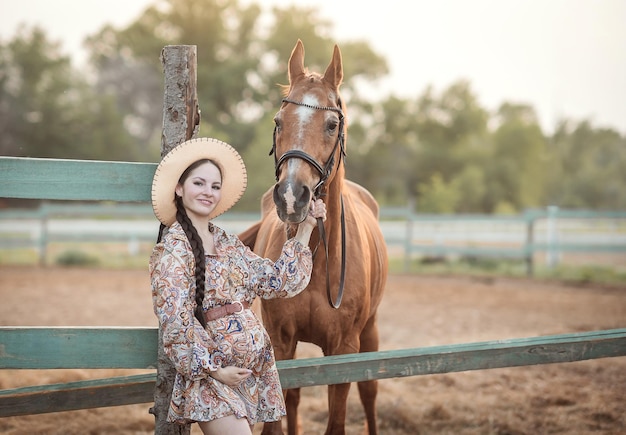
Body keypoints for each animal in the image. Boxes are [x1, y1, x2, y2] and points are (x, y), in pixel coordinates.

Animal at [239, 39, 386, 434]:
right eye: (278, 122)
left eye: (332, 124)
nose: (292, 197)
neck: (319, 256)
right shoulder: (281, 341)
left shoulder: (344, 349)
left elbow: (337, 420)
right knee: (294, 398)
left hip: (370, 330)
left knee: (370, 392)